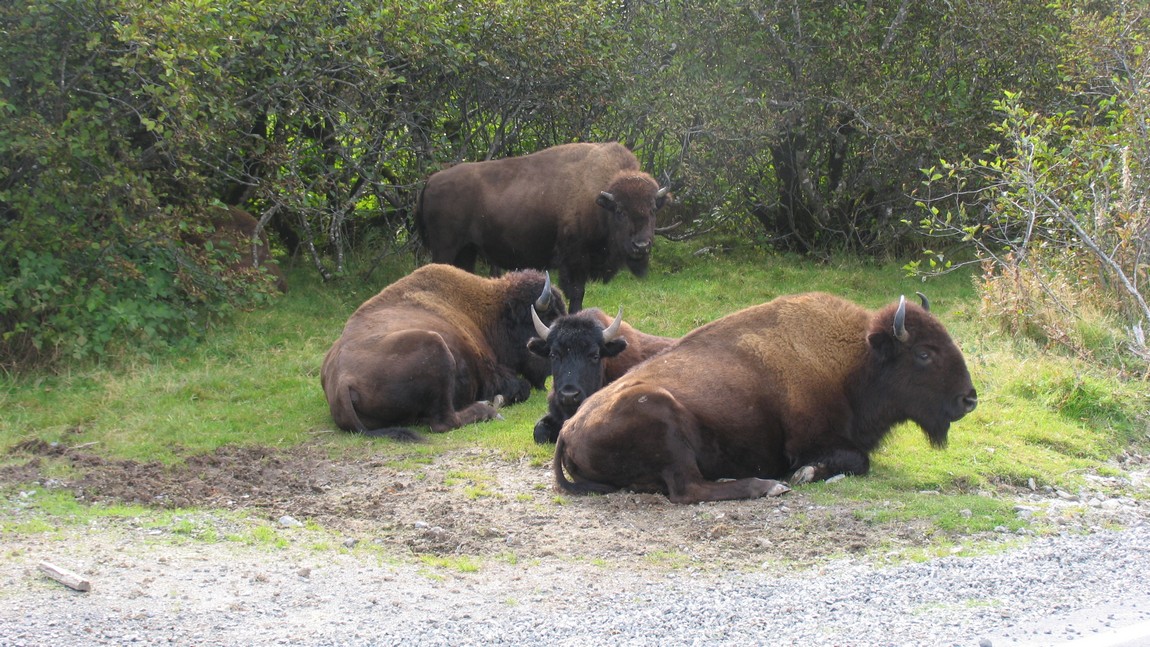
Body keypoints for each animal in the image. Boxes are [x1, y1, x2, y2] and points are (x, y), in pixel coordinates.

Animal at [321, 264, 566, 441]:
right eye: (548, 316)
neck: (492, 312)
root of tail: (342, 381)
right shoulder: (491, 375)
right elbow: (520, 387)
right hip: (436, 347)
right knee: (445, 421)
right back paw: (488, 408)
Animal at [415, 142, 670, 312]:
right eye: (620, 212)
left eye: (652, 209)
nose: (641, 245)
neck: (599, 200)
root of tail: (431, 180)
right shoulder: (574, 259)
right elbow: (577, 293)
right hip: (445, 249)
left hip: (467, 250)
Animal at [554, 292, 978, 504]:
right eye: (924, 353)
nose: (969, 400)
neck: (855, 361)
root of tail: (568, 429)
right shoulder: (809, 441)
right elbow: (858, 459)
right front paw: (804, 474)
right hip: (661, 413)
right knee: (687, 490)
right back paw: (766, 485)